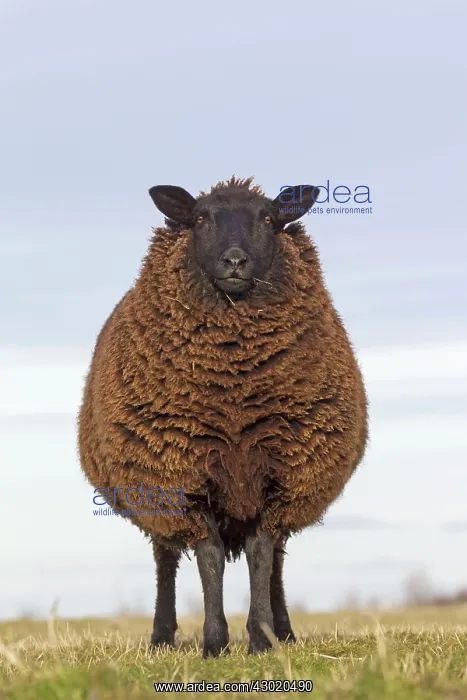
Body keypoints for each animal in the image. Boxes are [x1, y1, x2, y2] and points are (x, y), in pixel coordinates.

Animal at [78, 175, 369, 658]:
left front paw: (262, 638)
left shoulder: (279, 475)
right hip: (152, 491)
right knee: (165, 560)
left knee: (276, 563)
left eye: (268, 218)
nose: (234, 261)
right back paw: (161, 636)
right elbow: (210, 556)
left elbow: (261, 554)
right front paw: (215, 642)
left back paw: (285, 630)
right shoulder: (181, 476)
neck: (234, 395)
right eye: (200, 219)